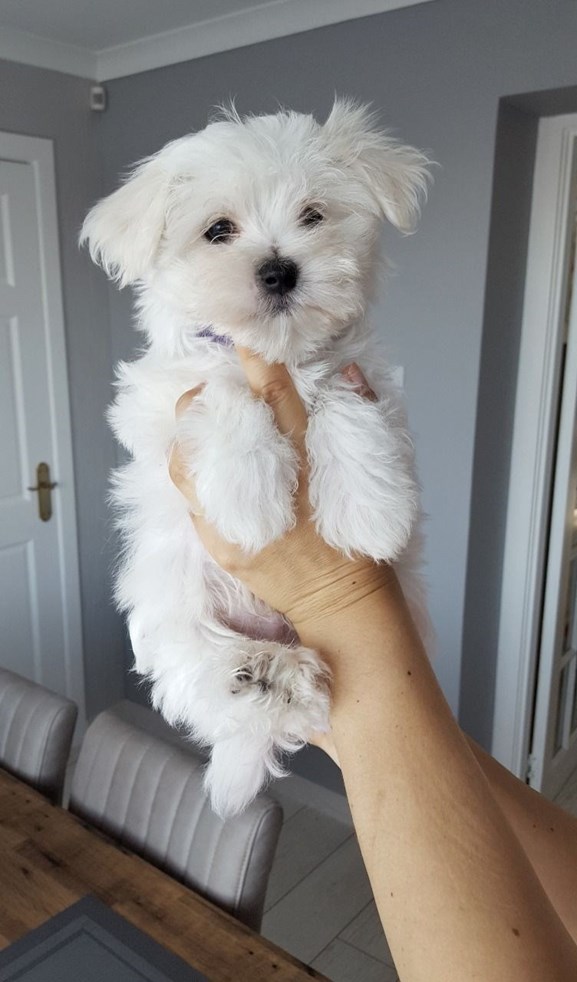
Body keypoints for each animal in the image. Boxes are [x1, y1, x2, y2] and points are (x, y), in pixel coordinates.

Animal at [83, 100, 430, 820]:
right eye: (218, 230)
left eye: (313, 215)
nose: (278, 270)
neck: (279, 353)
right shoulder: (167, 404)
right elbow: (224, 392)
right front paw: (249, 497)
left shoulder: (363, 376)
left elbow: (343, 405)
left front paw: (370, 511)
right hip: (166, 604)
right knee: (199, 671)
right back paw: (257, 675)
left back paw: (285, 681)